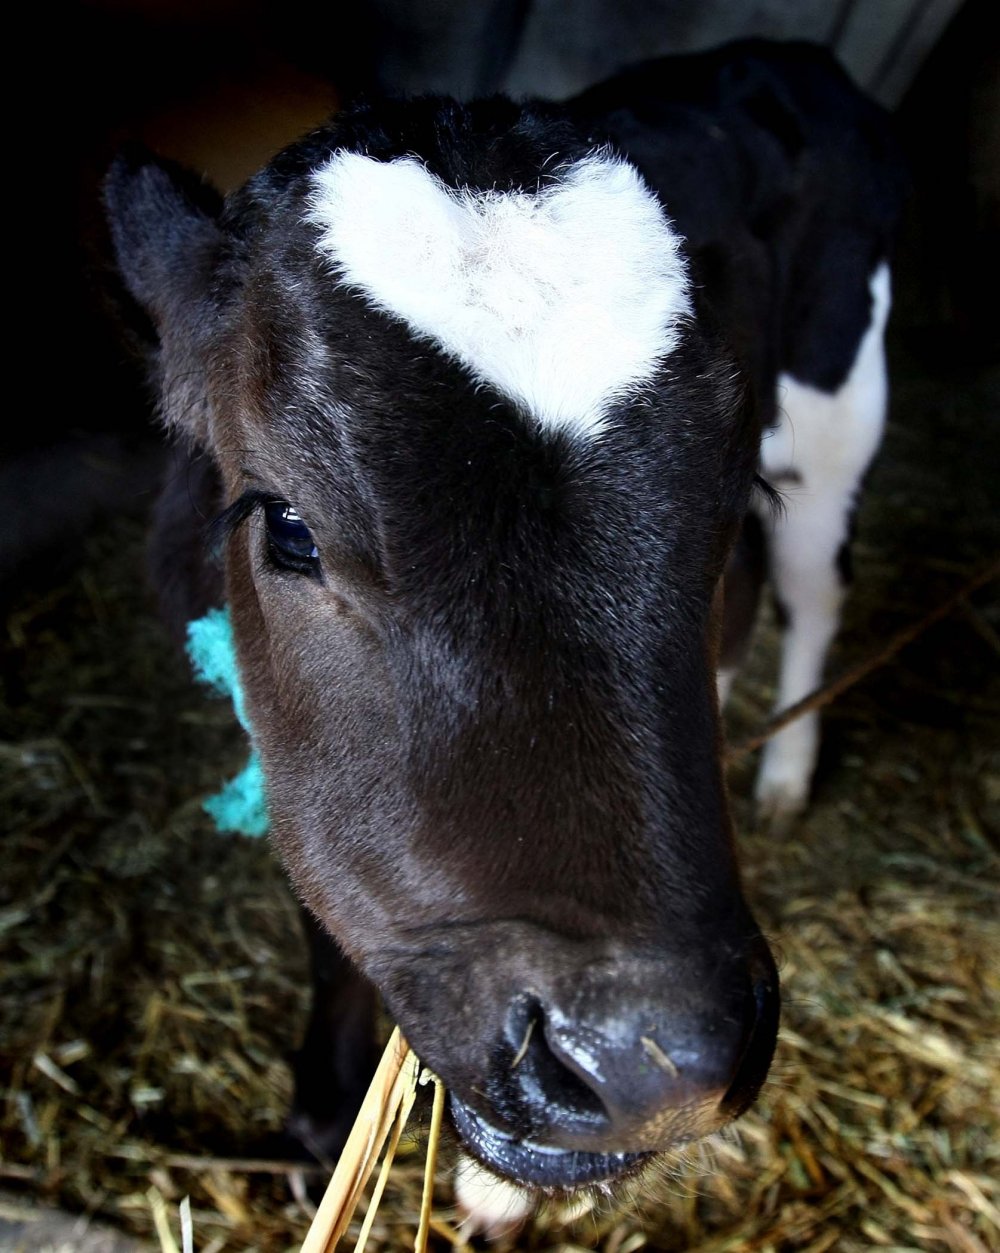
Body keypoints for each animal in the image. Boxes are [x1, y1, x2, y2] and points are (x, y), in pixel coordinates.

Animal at [104, 39, 907, 1212]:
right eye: (289, 527)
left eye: (720, 499)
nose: (650, 1068)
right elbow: (332, 895)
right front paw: (322, 1109)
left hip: (841, 400)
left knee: (816, 590)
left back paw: (786, 774)